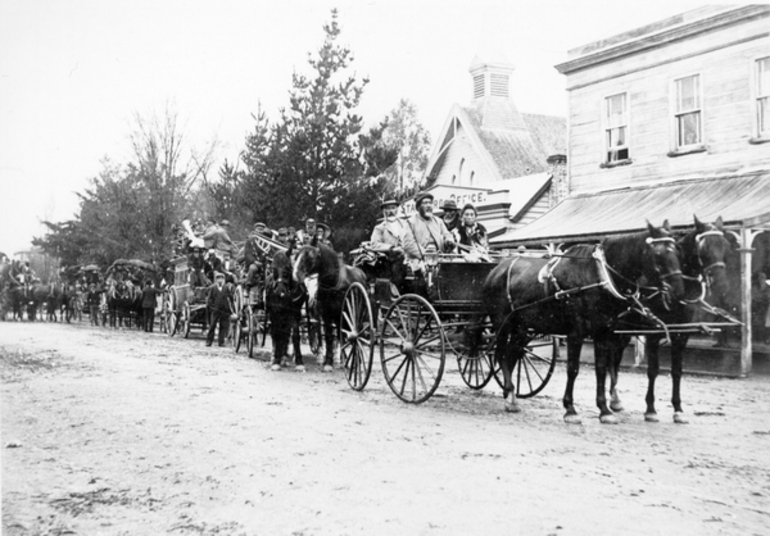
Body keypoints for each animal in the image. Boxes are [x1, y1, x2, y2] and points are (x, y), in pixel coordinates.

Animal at [292, 241, 368, 370]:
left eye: (311, 257)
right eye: (297, 256)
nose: (296, 274)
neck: (333, 284)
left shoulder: (340, 314)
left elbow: (338, 335)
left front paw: (338, 359)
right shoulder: (326, 314)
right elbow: (328, 336)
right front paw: (328, 362)